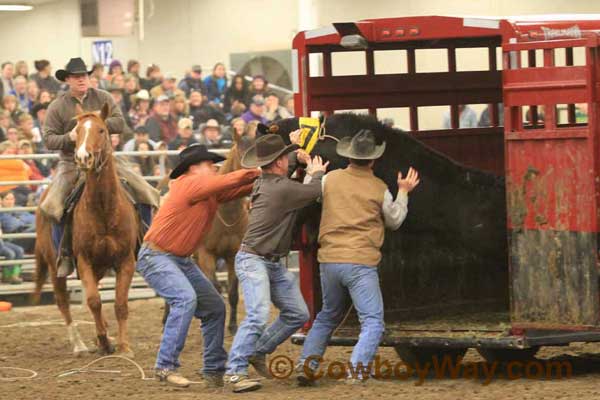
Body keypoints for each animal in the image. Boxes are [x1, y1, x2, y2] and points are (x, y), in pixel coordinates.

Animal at [34, 103, 139, 356]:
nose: (83, 157)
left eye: (101, 130)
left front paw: (123, 345)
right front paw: (103, 341)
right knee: (63, 302)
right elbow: (93, 300)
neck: (104, 209)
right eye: (78, 131)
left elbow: (120, 303)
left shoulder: (125, 260)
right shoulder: (84, 259)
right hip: (54, 266)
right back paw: (79, 344)